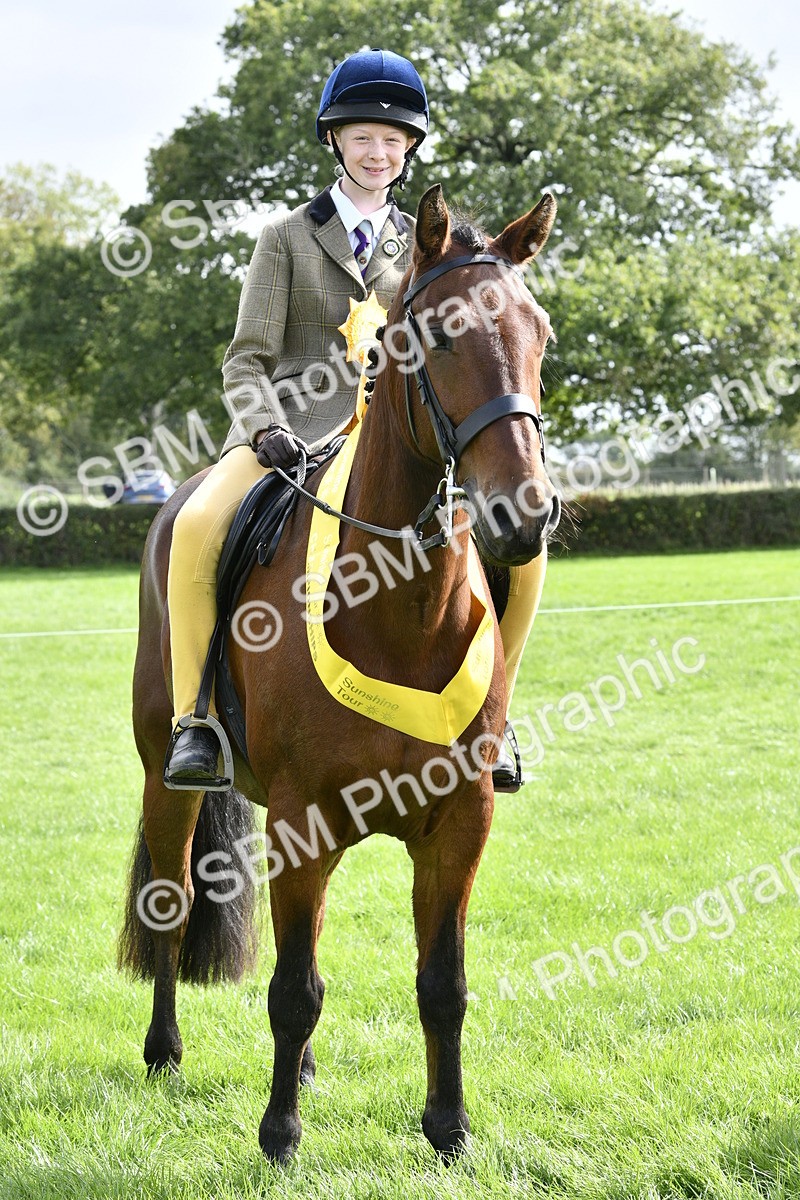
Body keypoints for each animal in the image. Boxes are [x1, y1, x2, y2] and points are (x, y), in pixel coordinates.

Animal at [119, 184, 560, 1163]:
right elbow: (292, 990)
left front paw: (448, 1129)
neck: (398, 609)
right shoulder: (301, 820)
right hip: (167, 776)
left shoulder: (459, 823)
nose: (524, 514)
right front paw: (280, 1134)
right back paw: (164, 1053)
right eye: (437, 338)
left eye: (541, 332)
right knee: (173, 902)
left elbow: (441, 985)